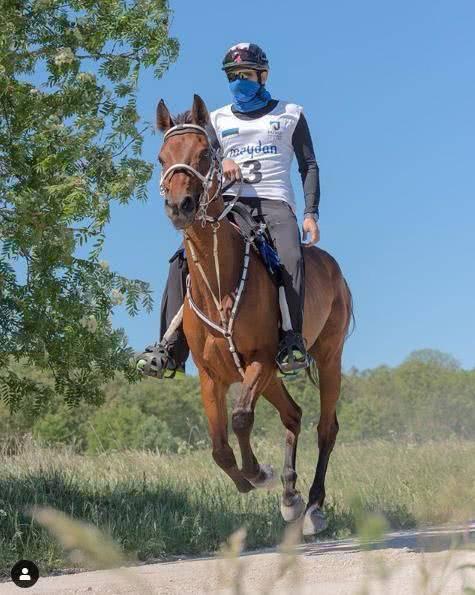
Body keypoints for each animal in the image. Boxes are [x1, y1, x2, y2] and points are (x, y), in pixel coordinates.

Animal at [155, 95, 354, 536]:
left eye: (204, 153)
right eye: (161, 158)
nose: (179, 207)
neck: (219, 282)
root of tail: (334, 269)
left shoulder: (261, 359)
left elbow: (242, 418)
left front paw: (258, 473)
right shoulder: (212, 376)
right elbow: (218, 447)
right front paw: (252, 479)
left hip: (328, 357)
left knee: (325, 428)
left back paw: (312, 507)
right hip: (269, 377)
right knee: (293, 415)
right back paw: (290, 498)